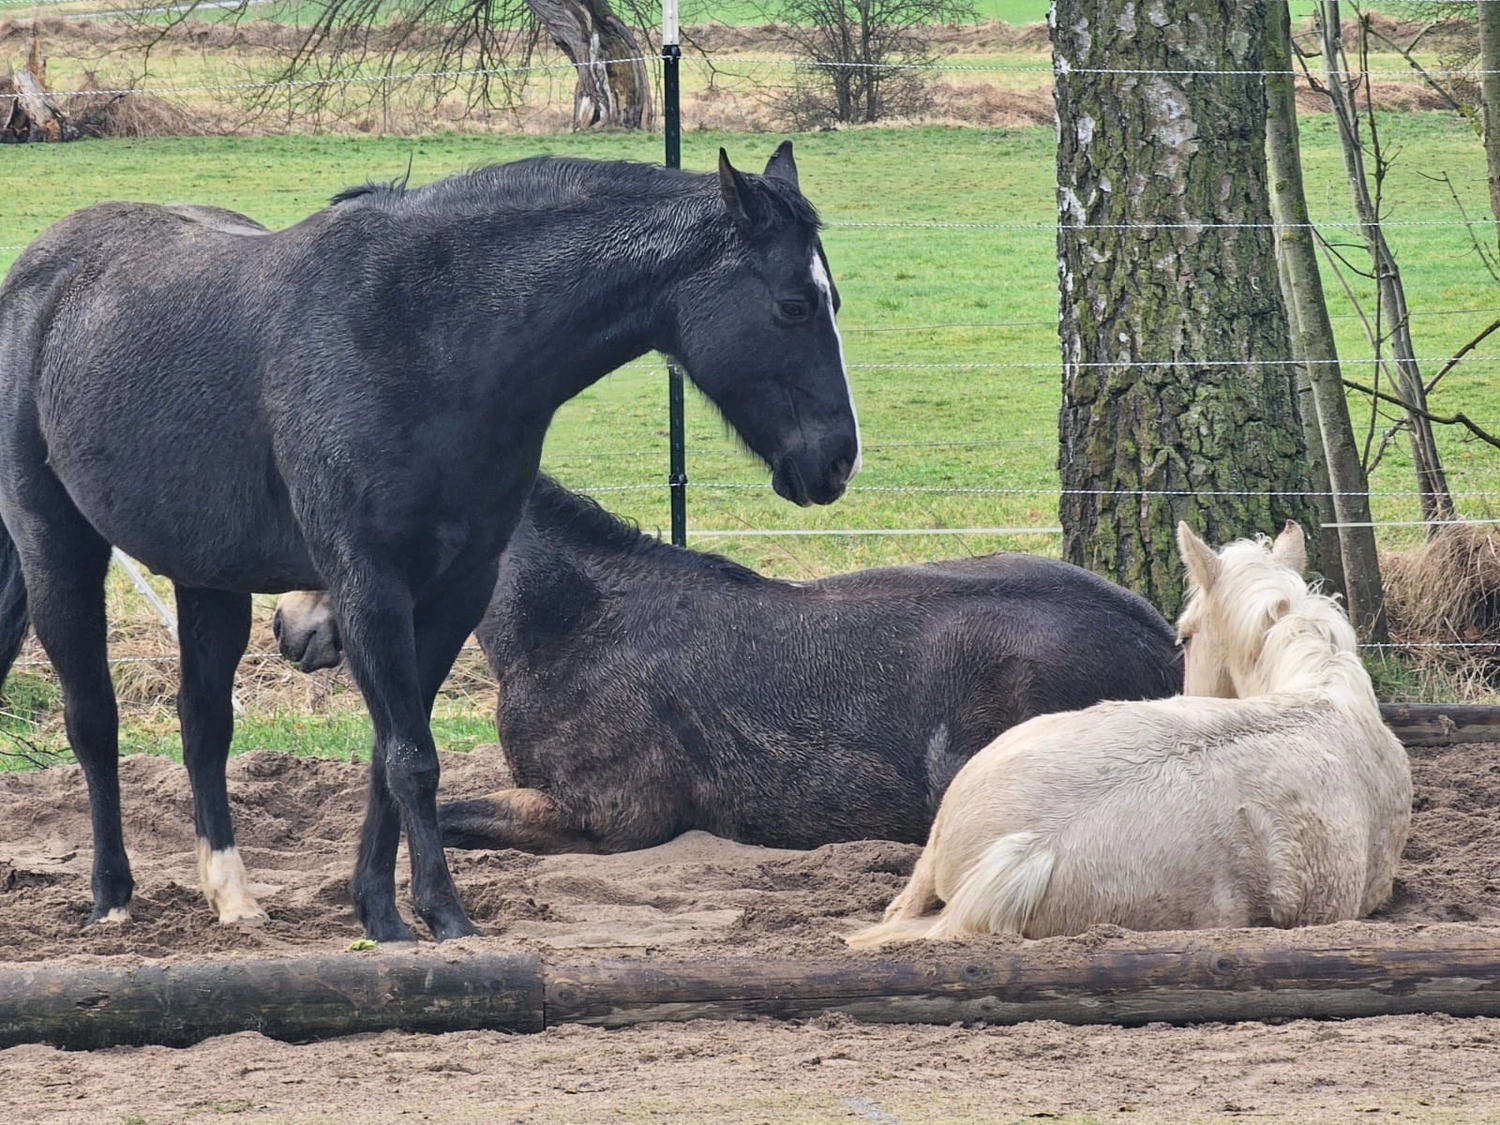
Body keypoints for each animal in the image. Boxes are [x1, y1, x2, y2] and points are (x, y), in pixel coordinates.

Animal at [0, 142, 860, 943]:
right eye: (793, 304)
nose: (837, 460)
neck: (423, 334)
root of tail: (42, 275)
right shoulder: (371, 586)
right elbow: (411, 756)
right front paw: (440, 915)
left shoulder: (456, 589)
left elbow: (393, 757)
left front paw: (379, 911)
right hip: (57, 550)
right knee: (93, 720)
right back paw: (111, 898)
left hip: (208, 575)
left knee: (205, 724)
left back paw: (234, 898)